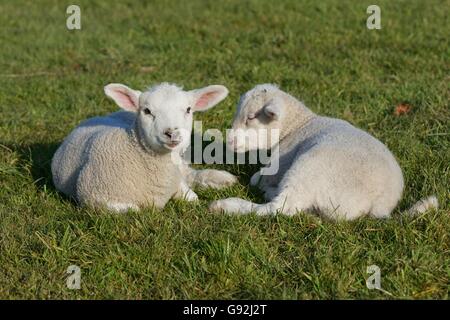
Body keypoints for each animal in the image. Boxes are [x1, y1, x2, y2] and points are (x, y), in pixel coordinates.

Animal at [51, 82, 237, 212]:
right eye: (147, 111)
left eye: (188, 109)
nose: (172, 133)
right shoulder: (95, 198)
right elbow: (134, 210)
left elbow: (192, 198)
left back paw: (220, 178)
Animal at [211, 84, 440, 220]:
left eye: (250, 117)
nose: (228, 140)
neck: (297, 125)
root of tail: (379, 205)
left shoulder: (278, 164)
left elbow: (256, 179)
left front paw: (260, 183)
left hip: (308, 169)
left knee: (281, 208)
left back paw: (227, 205)